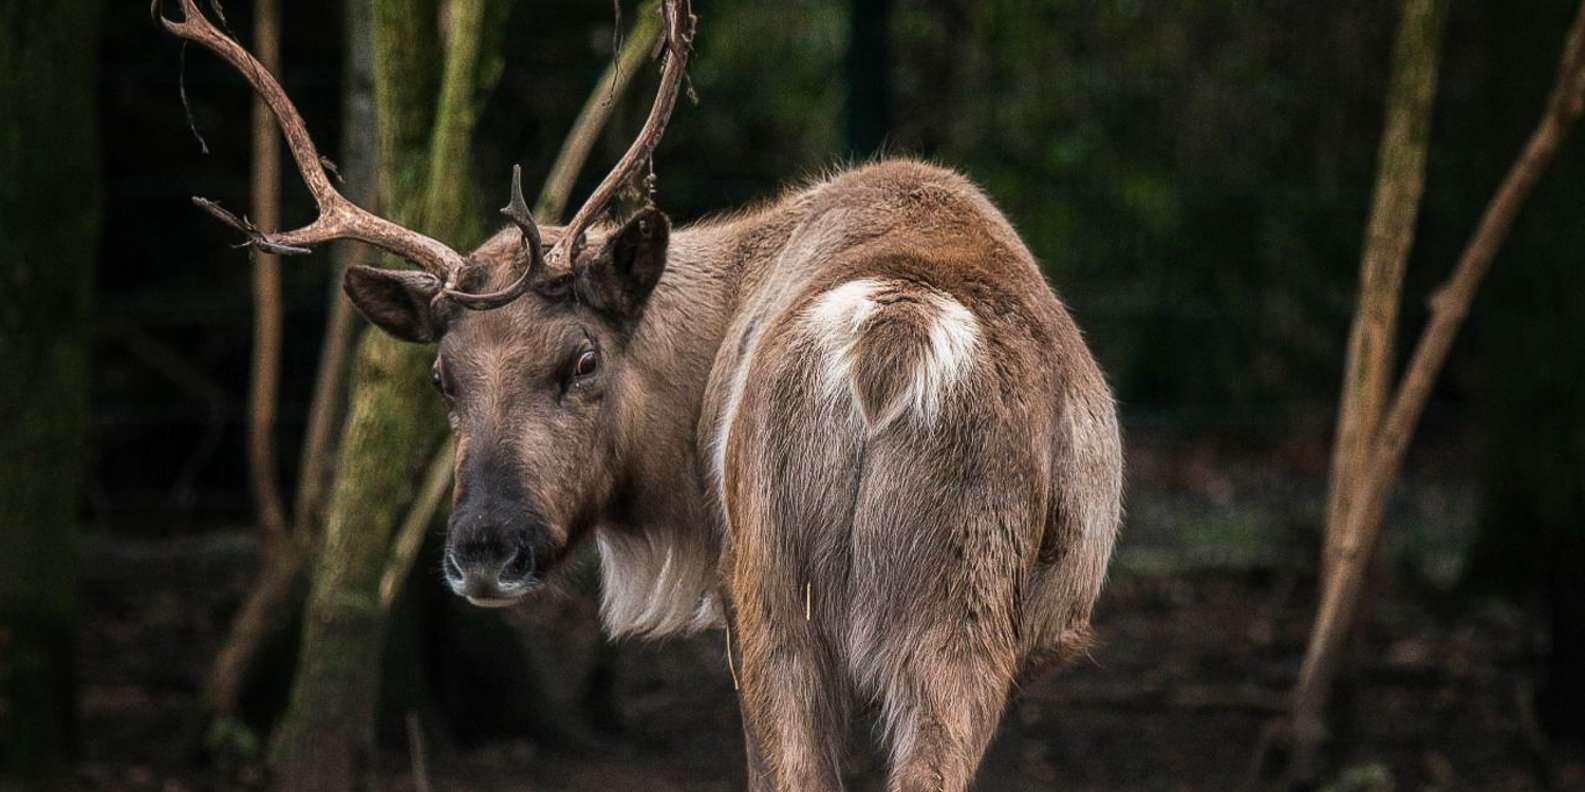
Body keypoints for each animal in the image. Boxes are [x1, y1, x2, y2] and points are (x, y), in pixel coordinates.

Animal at [155, 1, 1122, 789]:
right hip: (872, 604)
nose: (484, 549)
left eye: (582, 361)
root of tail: (891, 341)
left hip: (835, 596)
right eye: (441, 376)